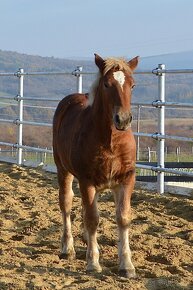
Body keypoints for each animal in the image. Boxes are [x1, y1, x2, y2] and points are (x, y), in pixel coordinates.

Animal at [52, 53, 139, 278]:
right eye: (107, 84)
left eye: (133, 85)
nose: (123, 119)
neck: (110, 140)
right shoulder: (86, 180)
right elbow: (92, 218)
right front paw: (93, 263)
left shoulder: (126, 179)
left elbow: (123, 218)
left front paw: (127, 266)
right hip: (63, 170)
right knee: (66, 204)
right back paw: (68, 249)